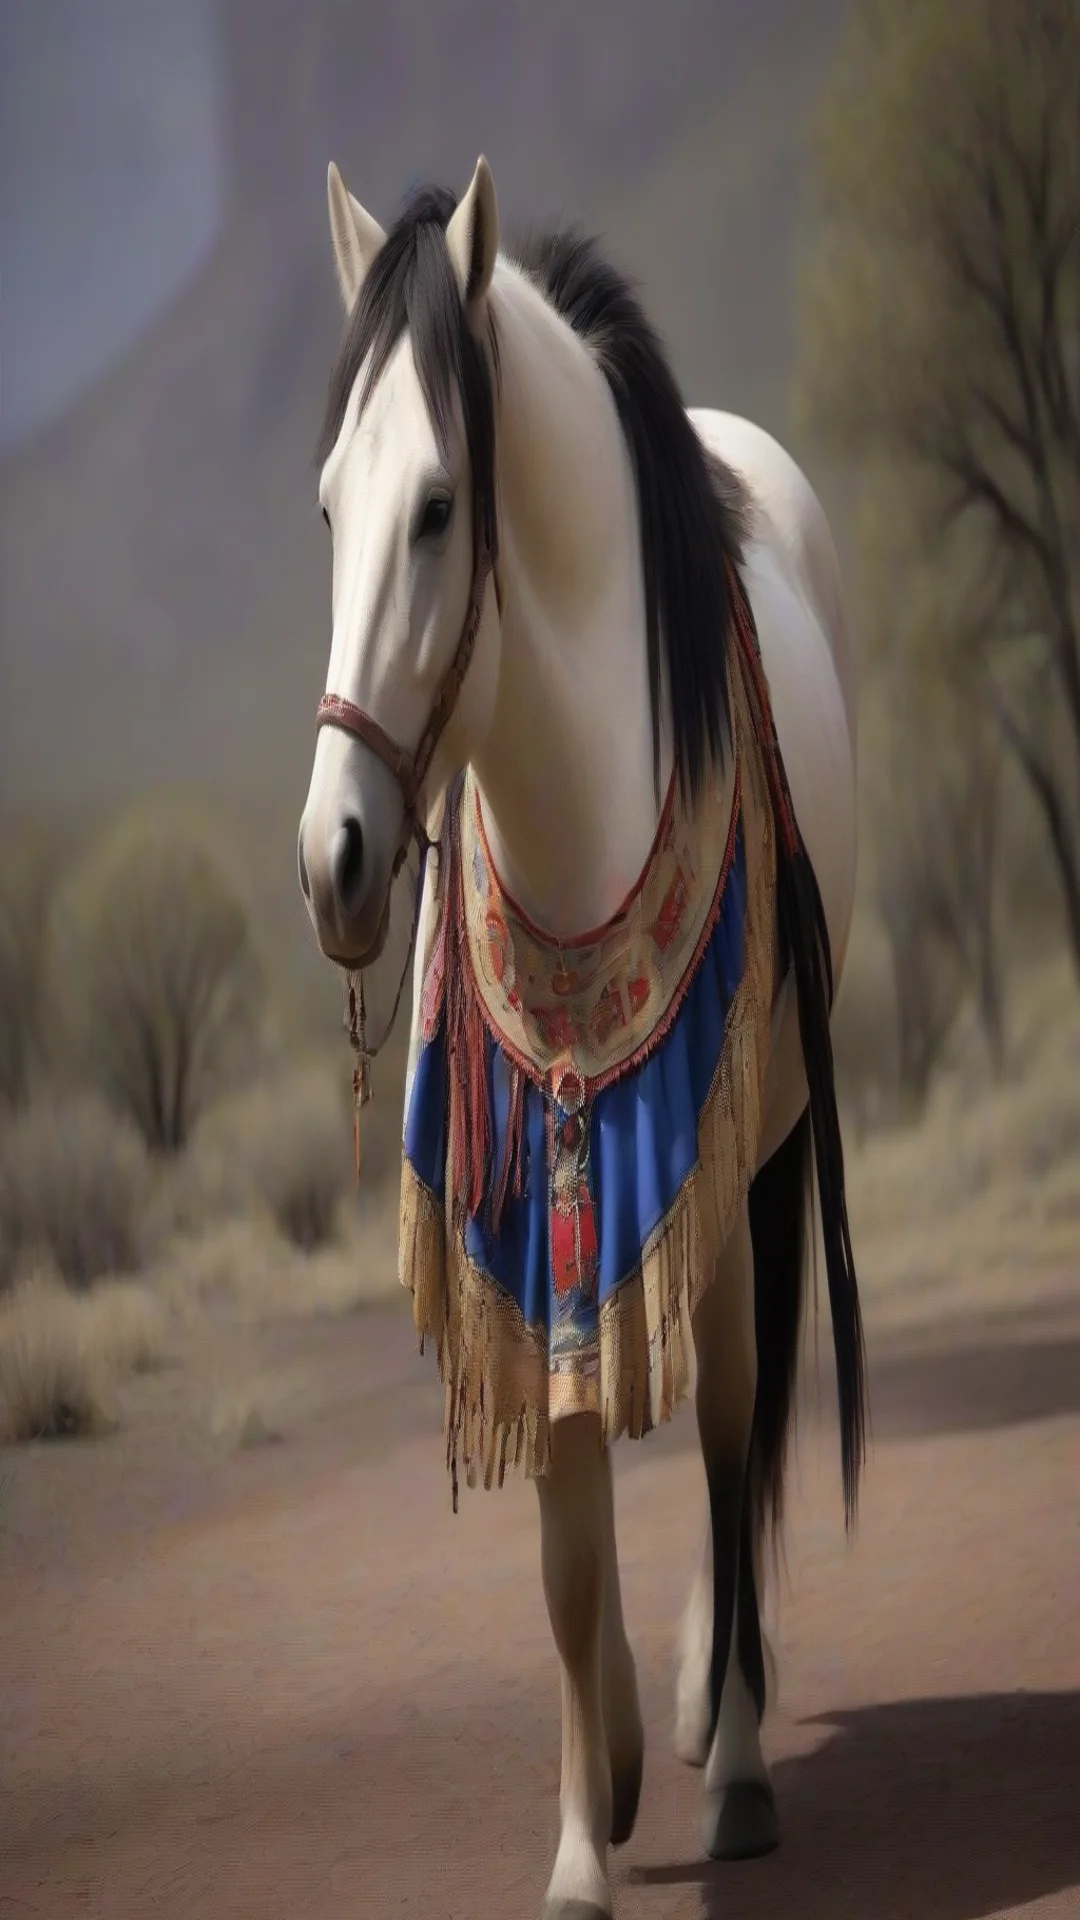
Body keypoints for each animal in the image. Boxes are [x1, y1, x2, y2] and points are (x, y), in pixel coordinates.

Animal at [298, 156, 867, 1920]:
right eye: (329, 509)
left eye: (438, 510)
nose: (336, 858)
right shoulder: (522, 1201)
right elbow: (563, 1530)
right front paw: (579, 1835)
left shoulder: (701, 1161)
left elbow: (731, 1428)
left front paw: (733, 1768)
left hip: (763, 1155)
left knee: (739, 1425)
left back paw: (712, 1705)